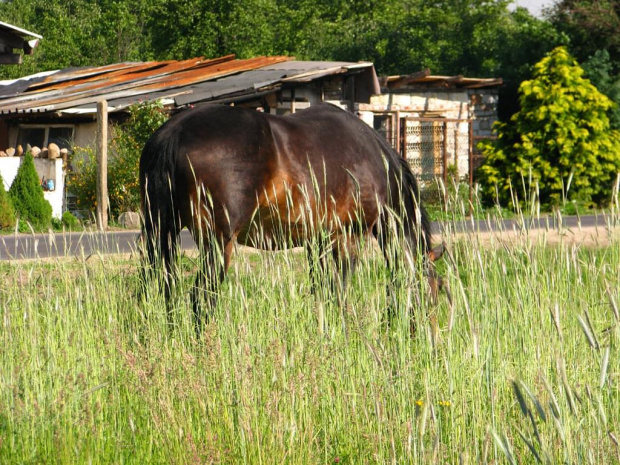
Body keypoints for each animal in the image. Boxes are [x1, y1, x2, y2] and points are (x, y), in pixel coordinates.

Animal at [140, 103, 444, 328]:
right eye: (435, 290)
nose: (428, 338)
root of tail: (174, 133)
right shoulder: (347, 238)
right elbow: (338, 291)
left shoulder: (317, 242)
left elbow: (322, 291)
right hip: (217, 243)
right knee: (201, 296)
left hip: (161, 234)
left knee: (160, 289)